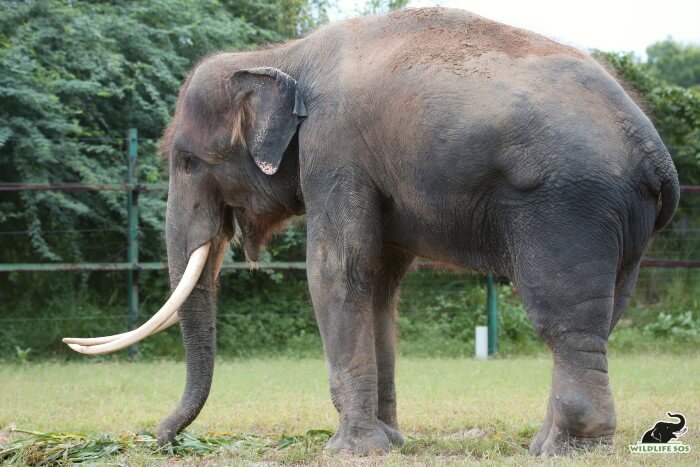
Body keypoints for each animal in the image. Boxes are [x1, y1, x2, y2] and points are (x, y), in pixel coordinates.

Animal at [61, 7, 680, 458]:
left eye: (187, 161)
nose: (154, 437)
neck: (280, 55)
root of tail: (654, 151)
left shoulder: (334, 149)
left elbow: (337, 270)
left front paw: (349, 451)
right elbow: (379, 285)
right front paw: (391, 442)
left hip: (569, 206)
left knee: (564, 321)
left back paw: (565, 449)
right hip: (624, 223)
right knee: (605, 316)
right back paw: (548, 443)